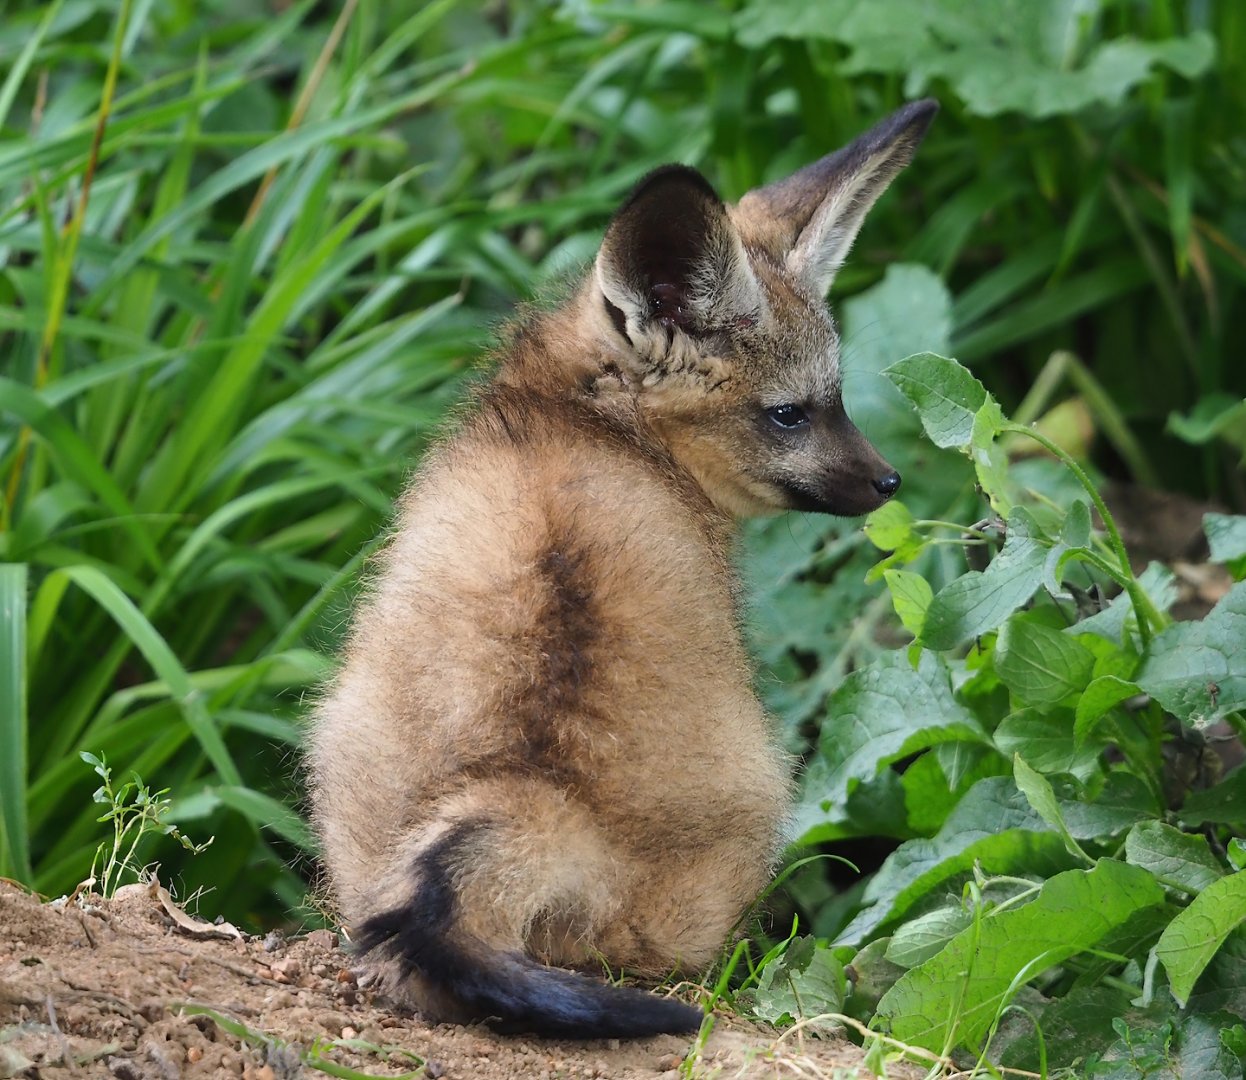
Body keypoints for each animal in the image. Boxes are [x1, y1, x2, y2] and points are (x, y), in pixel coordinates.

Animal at [306, 98, 937, 1039]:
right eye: (791, 414)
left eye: (837, 401)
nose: (888, 483)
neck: (587, 422)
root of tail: (530, 791)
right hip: (757, 808)